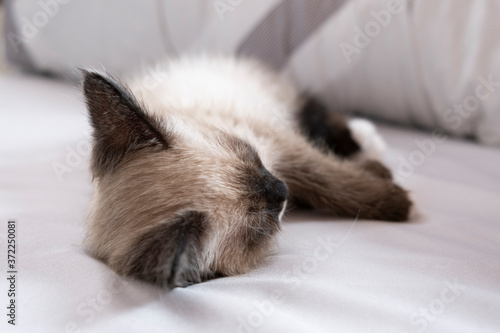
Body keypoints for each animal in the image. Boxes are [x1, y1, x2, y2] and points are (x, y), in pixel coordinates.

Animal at [81, 56, 410, 288]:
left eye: (253, 158)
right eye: (262, 221)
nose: (283, 191)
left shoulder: (280, 144)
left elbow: (331, 180)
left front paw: (399, 203)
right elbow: (330, 182)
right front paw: (395, 196)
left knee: (320, 119)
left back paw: (369, 144)